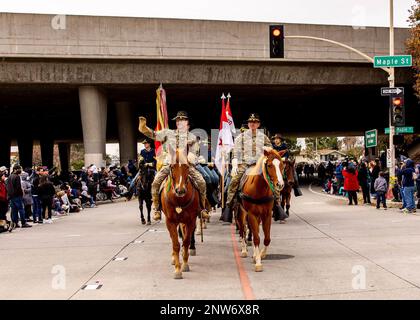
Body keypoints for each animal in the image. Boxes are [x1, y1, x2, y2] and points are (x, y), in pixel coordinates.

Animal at [160, 149, 201, 278]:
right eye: (172, 166)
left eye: (187, 166)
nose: (180, 190)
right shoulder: (170, 221)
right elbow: (176, 244)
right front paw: (177, 270)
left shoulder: (191, 220)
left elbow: (186, 241)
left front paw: (185, 264)